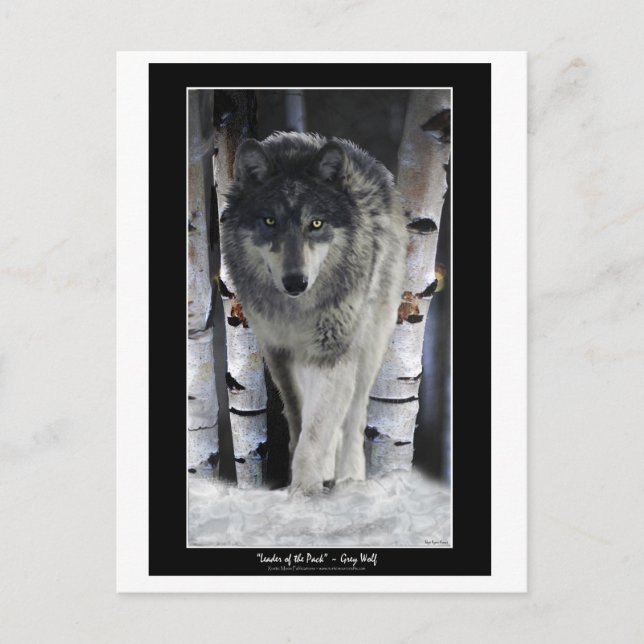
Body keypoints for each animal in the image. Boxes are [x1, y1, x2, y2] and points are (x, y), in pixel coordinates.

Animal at [221, 132, 408, 493]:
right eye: (270, 221)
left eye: (316, 223)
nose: (296, 281)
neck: (297, 311)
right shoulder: (277, 353)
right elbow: (299, 421)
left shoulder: (332, 353)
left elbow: (317, 432)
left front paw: (305, 490)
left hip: (369, 347)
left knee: (353, 417)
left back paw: (349, 478)